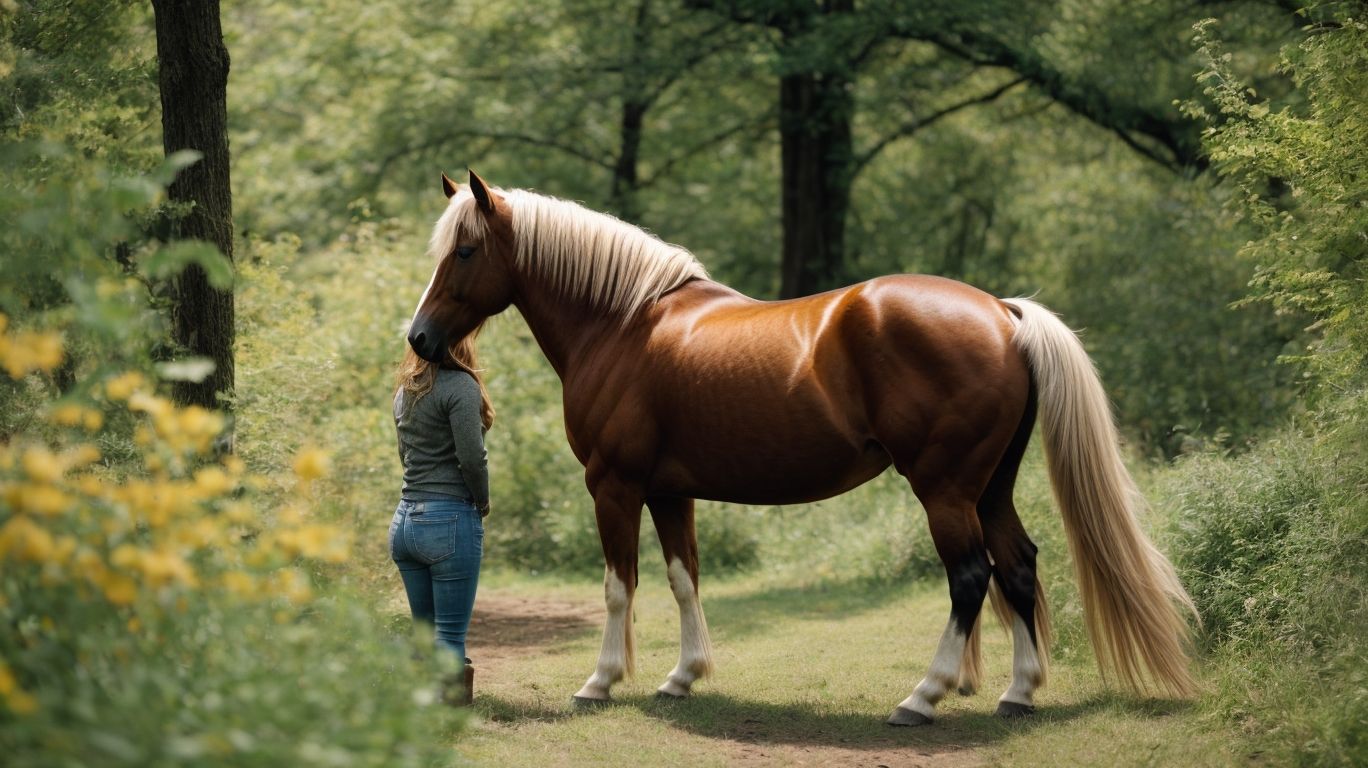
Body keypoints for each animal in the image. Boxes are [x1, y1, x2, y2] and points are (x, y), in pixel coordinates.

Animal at [406, 170, 1197, 725]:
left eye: (466, 251)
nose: (419, 339)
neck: (623, 322)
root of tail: (1003, 314)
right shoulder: (669, 490)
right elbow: (684, 578)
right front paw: (682, 677)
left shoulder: (616, 485)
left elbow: (617, 585)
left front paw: (600, 681)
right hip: (989, 487)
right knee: (1019, 566)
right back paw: (1019, 693)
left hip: (945, 490)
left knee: (972, 577)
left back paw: (924, 696)